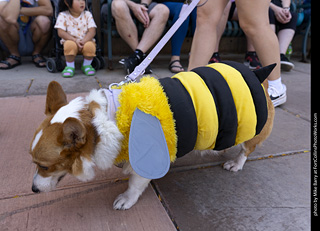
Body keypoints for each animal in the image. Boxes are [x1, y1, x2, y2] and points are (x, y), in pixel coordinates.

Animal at [30, 62, 276, 210]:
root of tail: (257, 73)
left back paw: (236, 163)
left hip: (251, 129)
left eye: (44, 166)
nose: (33, 190)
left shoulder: (147, 157)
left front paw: (126, 199)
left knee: (247, 149)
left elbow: (135, 184)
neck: (102, 122)